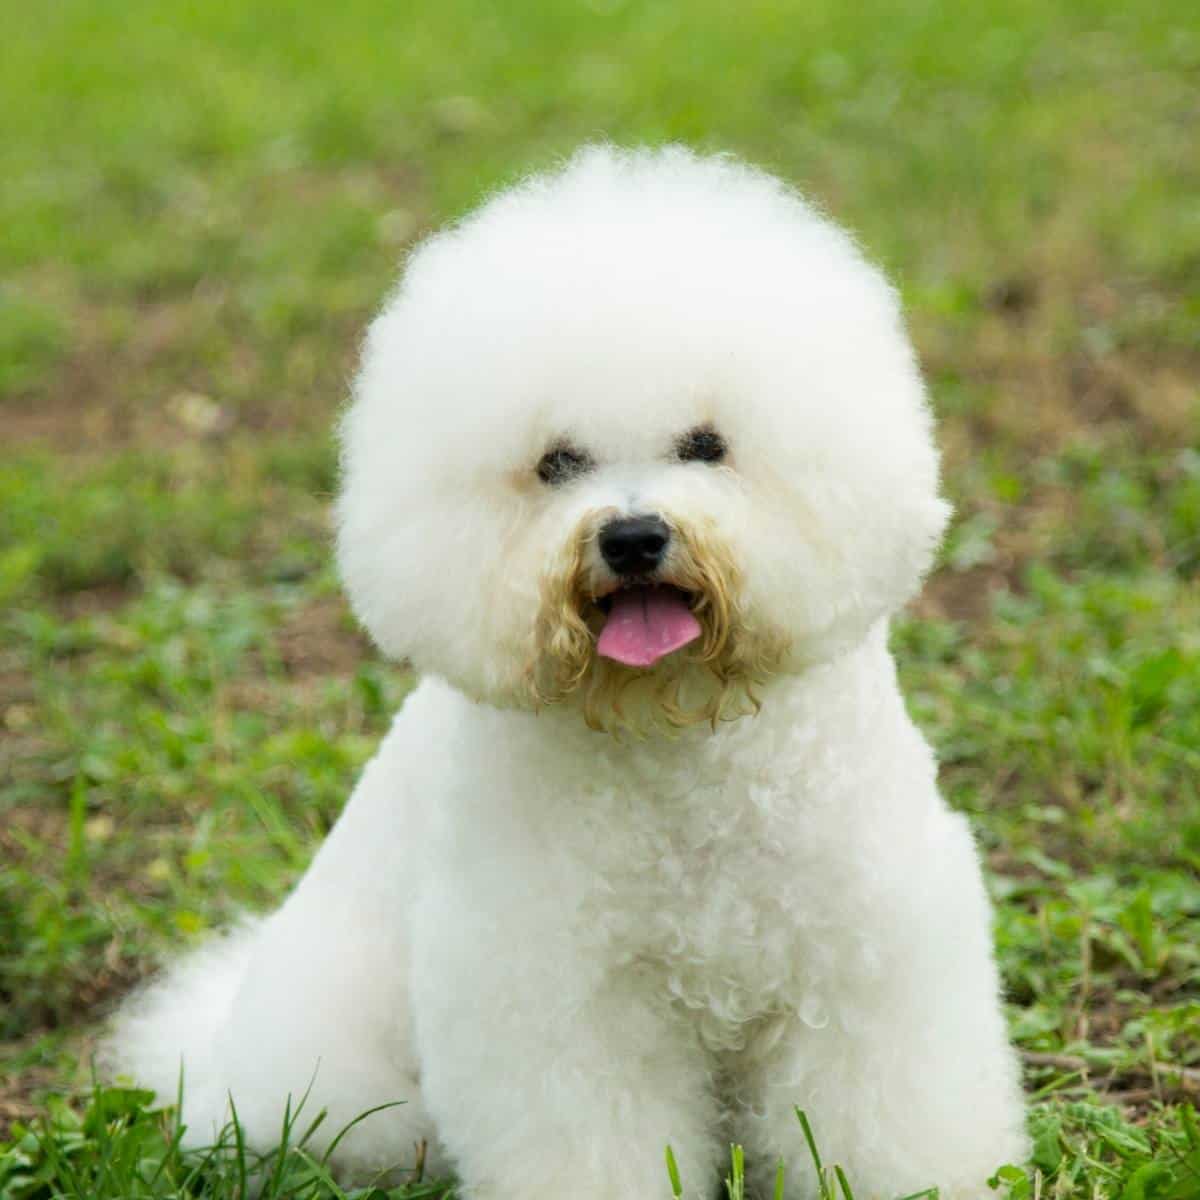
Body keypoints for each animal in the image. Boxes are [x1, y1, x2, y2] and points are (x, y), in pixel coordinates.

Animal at [108, 145, 1027, 1195]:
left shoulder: (863, 959)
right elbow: (588, 1136)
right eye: (556, 463)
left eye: (706, 445)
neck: (677, 734)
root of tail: (219, 1049)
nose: (631, 538)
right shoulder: (562, 1005)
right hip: (344, 1079)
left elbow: (881, 1119)